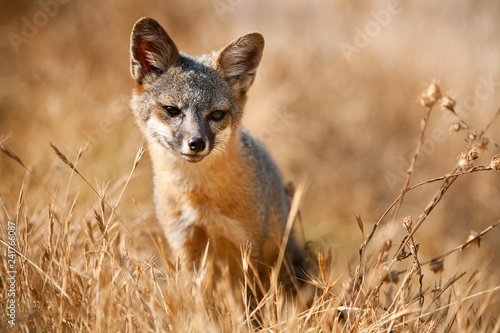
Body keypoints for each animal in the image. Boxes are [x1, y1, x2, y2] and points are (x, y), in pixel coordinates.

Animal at [128, 16, 304, 290]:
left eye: (217, 115)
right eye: (172, 110)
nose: (196, 143)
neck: (197, 196)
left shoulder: (247, 246)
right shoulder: (185, 243)